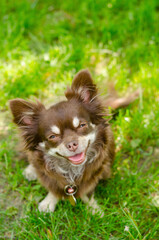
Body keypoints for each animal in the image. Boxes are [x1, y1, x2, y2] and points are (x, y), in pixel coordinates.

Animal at [9, 69, 139, 216]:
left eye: (82, 125)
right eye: (52, 136)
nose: (72, 144)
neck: (71, 169)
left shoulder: (96, 173)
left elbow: (88, 192)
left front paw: (93, 209)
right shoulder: (52, 176)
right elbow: (53, 188)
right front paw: (48, 203)